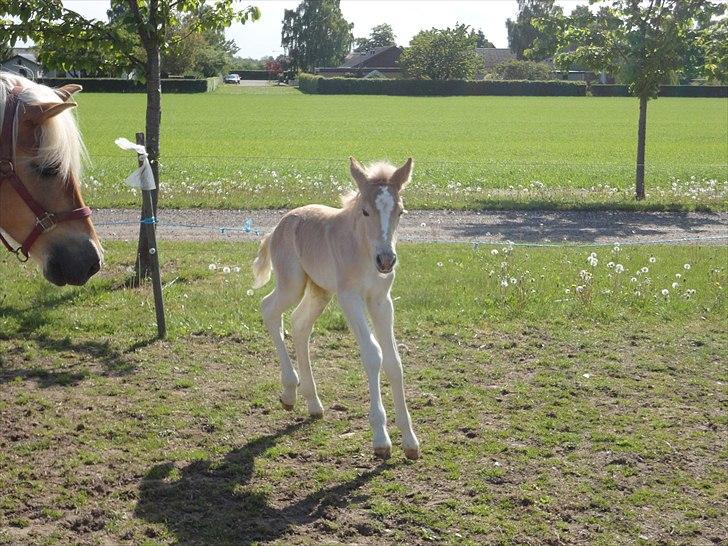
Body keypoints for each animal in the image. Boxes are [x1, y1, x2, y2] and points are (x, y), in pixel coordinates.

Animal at [252, 157, 418, 460]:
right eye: (365, 211)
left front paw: (410, 441)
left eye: (401, 211)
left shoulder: (381, 300)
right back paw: (289, 392)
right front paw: (381, 439)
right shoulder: (350, 297)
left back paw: (313, 403)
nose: (386, 260)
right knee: (269, 308)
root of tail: (279, 226)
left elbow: (394, 360)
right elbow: (373, 354)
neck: (363, 249)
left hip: (320, 291)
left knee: (299, 323)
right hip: (293, 283)